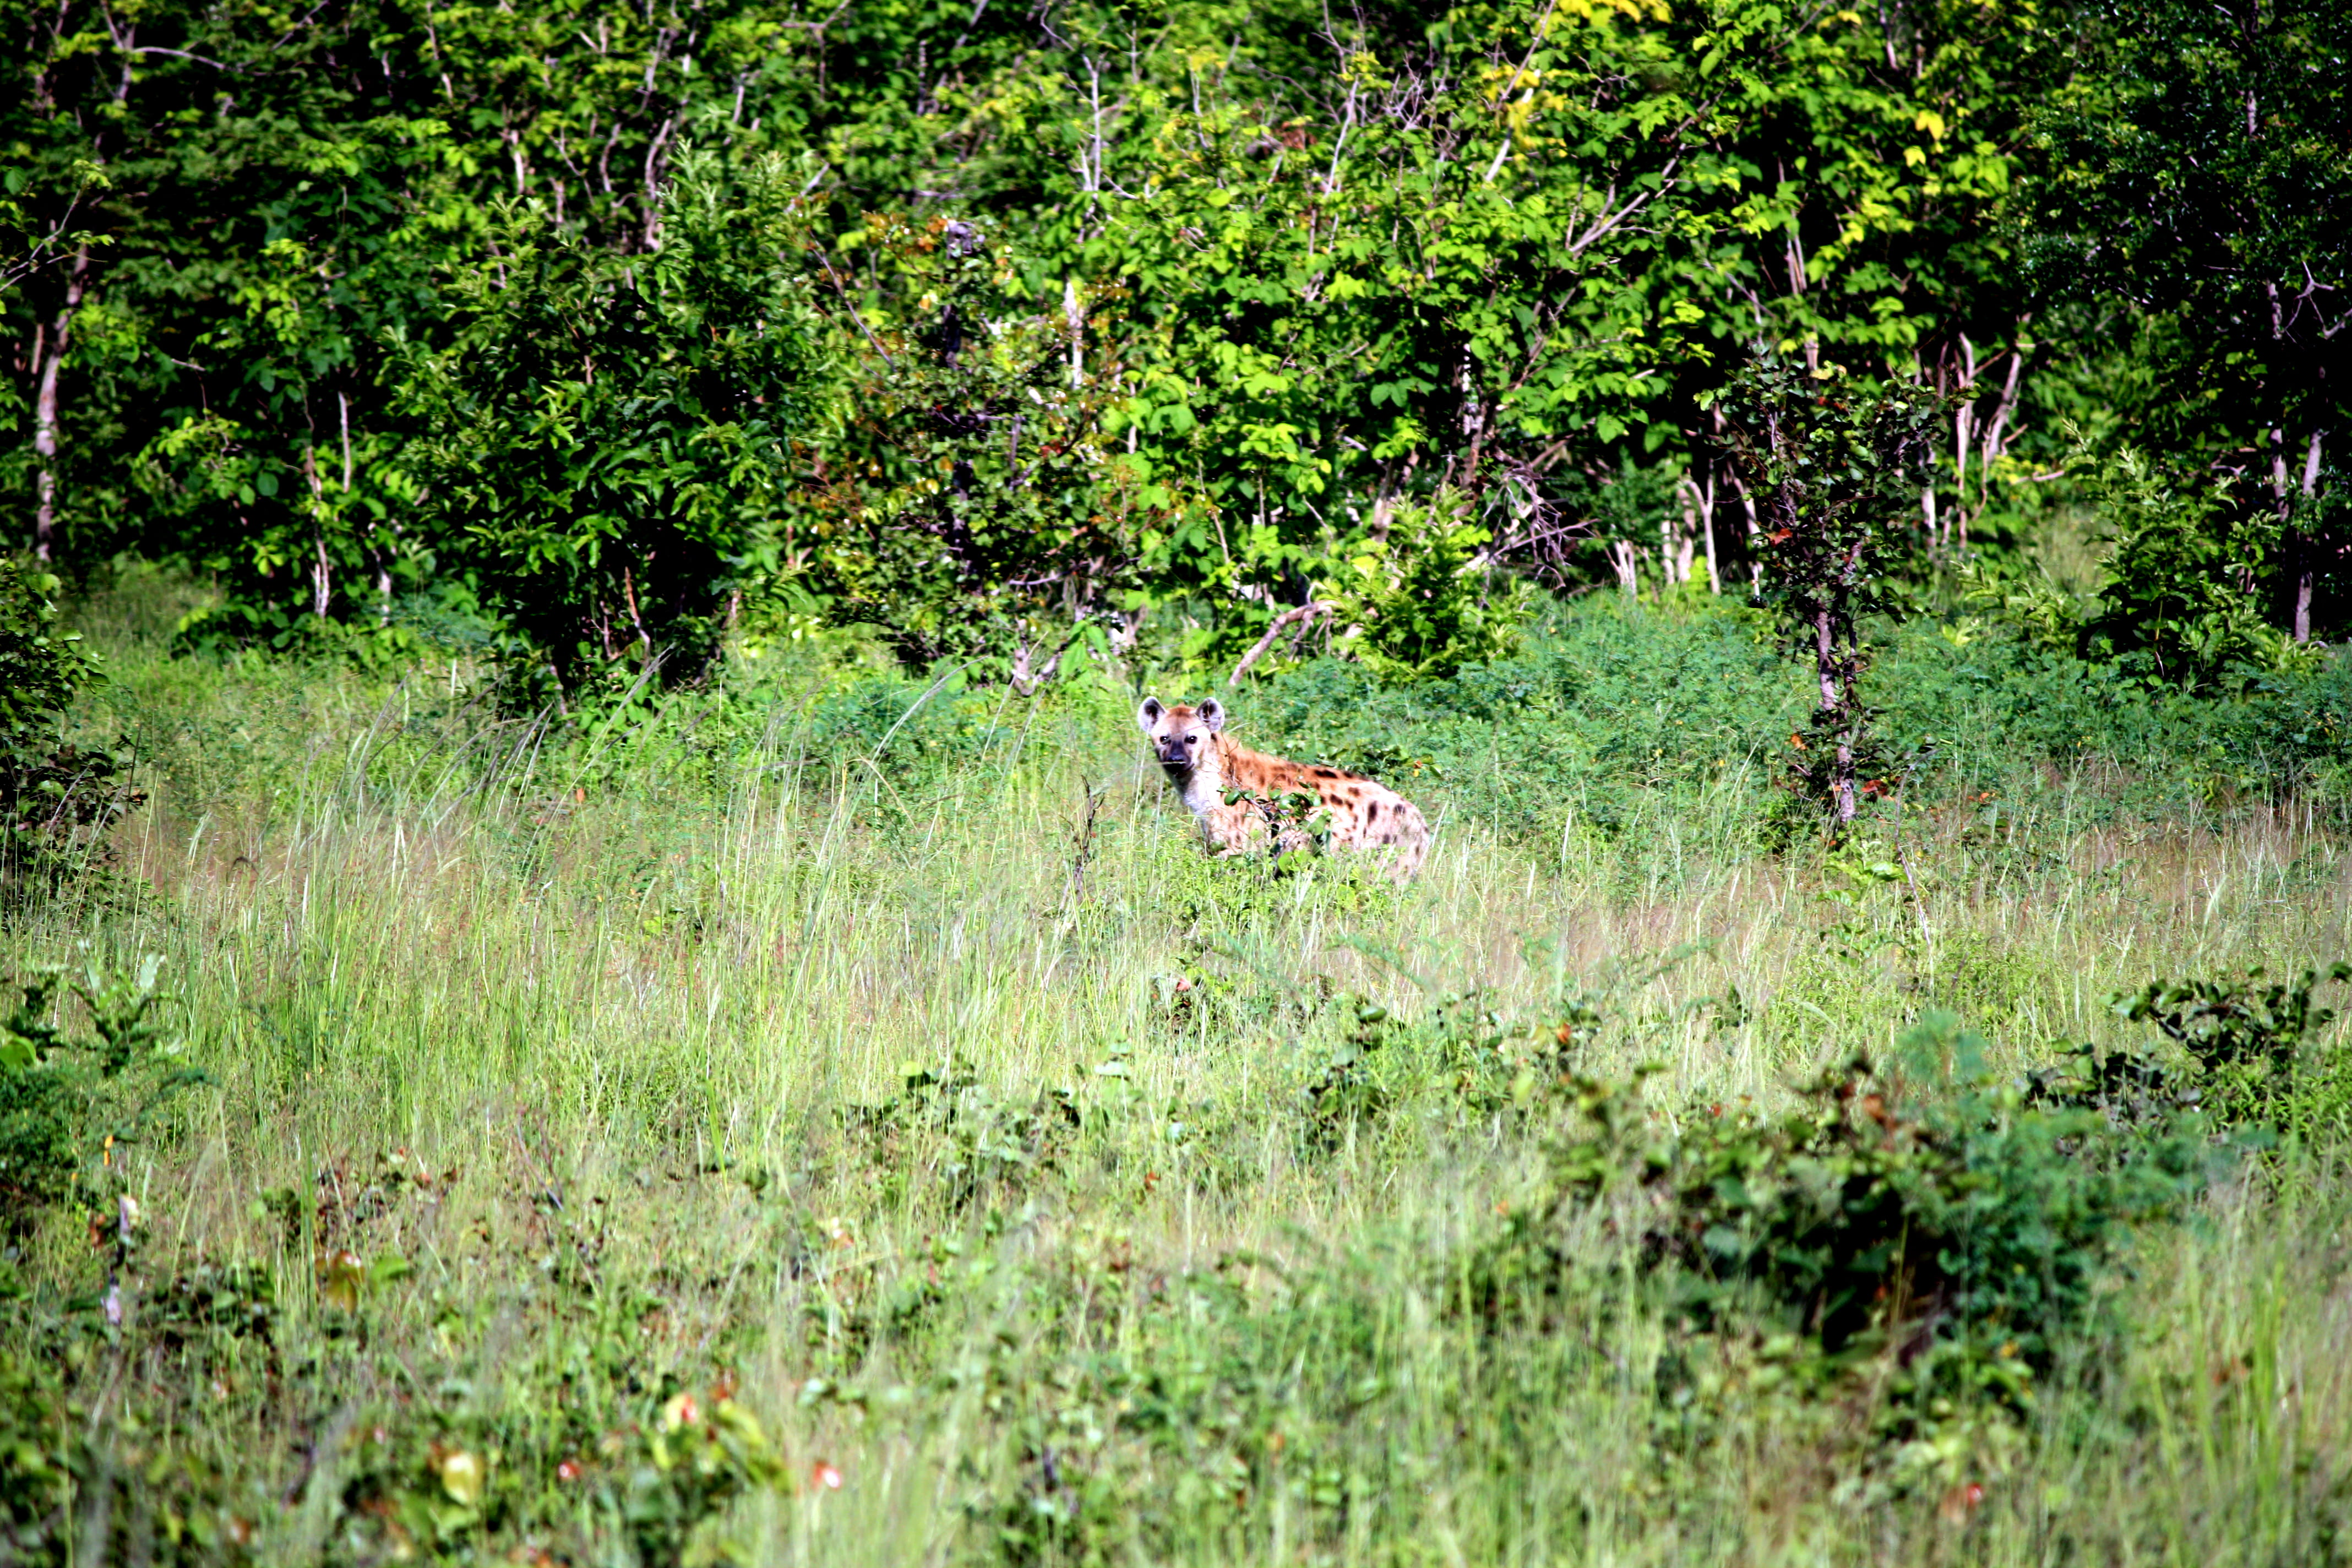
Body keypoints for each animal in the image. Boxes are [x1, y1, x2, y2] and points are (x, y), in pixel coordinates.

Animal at [1137, 696, 1430, 880]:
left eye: (1192, 739)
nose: (1176, 760)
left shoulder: (1238, 845)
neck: (1206, 784)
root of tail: (1418, 818)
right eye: (1164, 738)